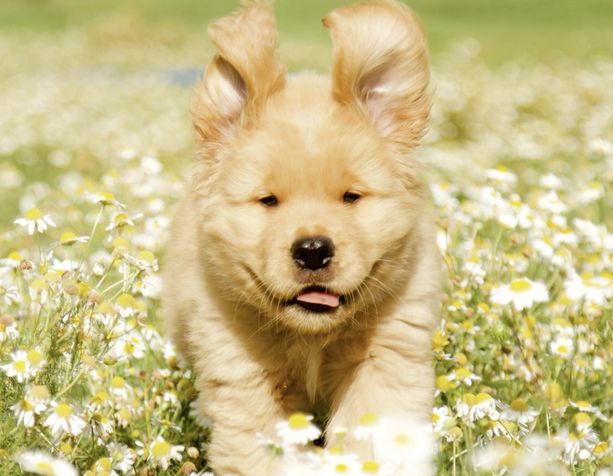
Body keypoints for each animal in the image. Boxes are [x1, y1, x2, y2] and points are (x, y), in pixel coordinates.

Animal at [162, 1, 441, 474]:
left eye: (351, 197)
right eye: (268, 200)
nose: (312, 251)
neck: (311, 337)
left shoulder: (387, 359)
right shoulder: (243, 371)